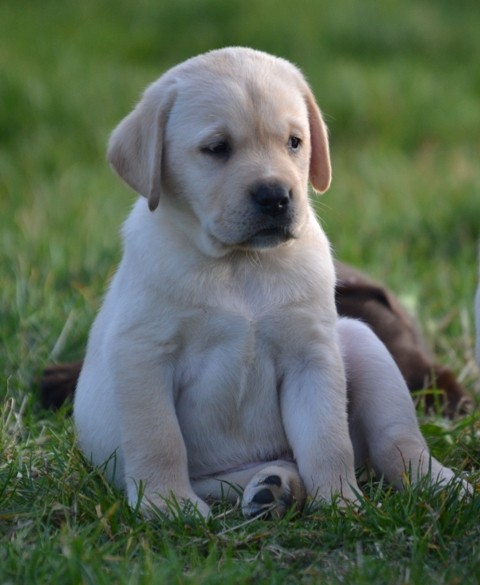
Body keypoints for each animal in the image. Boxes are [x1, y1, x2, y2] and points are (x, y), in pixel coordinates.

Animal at [74, 48, 464, 516]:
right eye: (216, 148)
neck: (240, 264)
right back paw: (272, 486)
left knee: (398, 442)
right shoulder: (143, 354)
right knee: (240, 474)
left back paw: (440, 483)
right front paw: (166, 505)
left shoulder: (312, 356)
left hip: (363, 341)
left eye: (294, 142)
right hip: (222, 470)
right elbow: (158, 440)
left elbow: (327, 441)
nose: (276, 196)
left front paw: (339, 502)